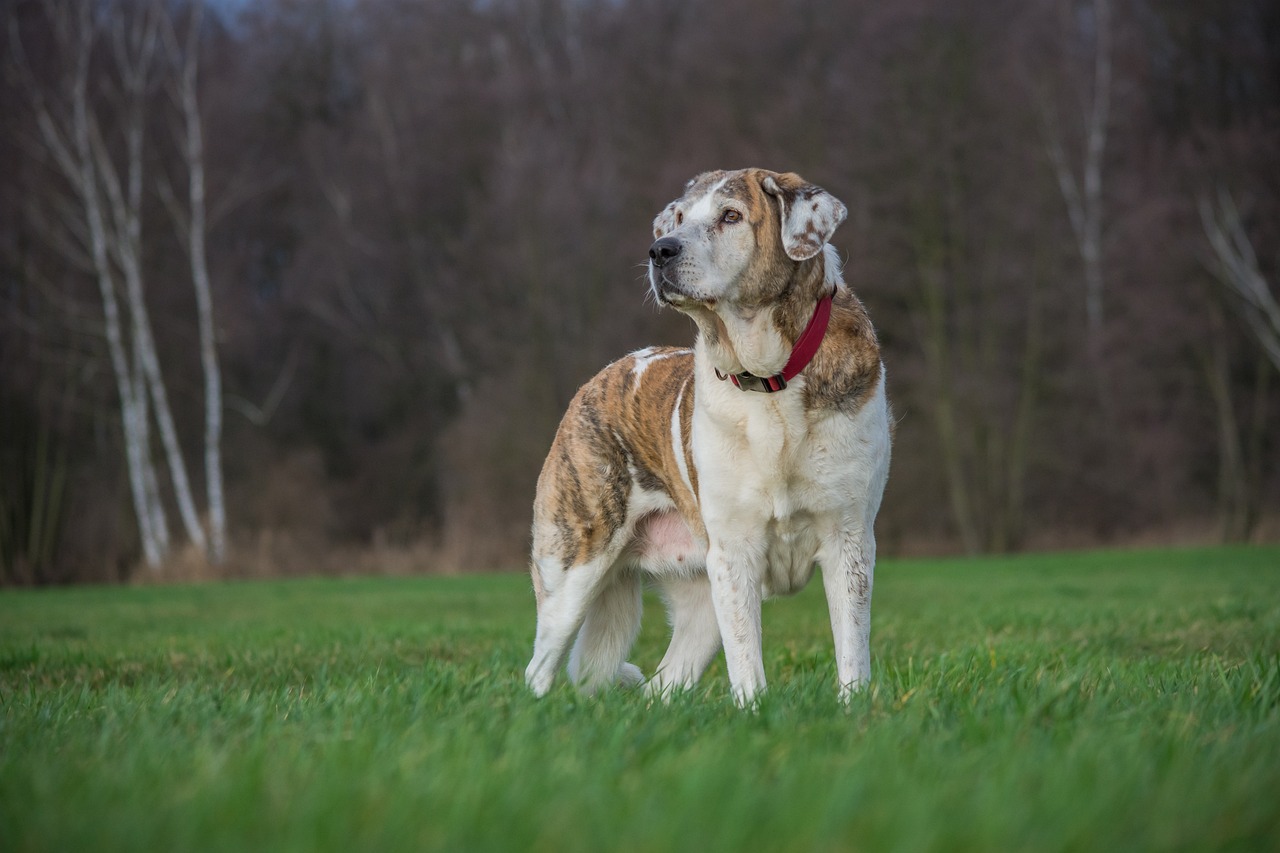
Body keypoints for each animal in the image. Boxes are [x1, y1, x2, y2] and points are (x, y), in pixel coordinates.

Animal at [519, 167, 890, 701]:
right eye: (676, 219)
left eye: (730, 216)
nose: (660, 250)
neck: (769, 380)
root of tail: (599, 377)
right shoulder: (734, 555)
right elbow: (747, 662)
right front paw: (755, 710)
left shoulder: (850, 540)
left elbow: (852, 655)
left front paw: (854, 710)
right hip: (574, 567)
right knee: (539, 667)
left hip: (699, 605)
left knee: (661, 687)